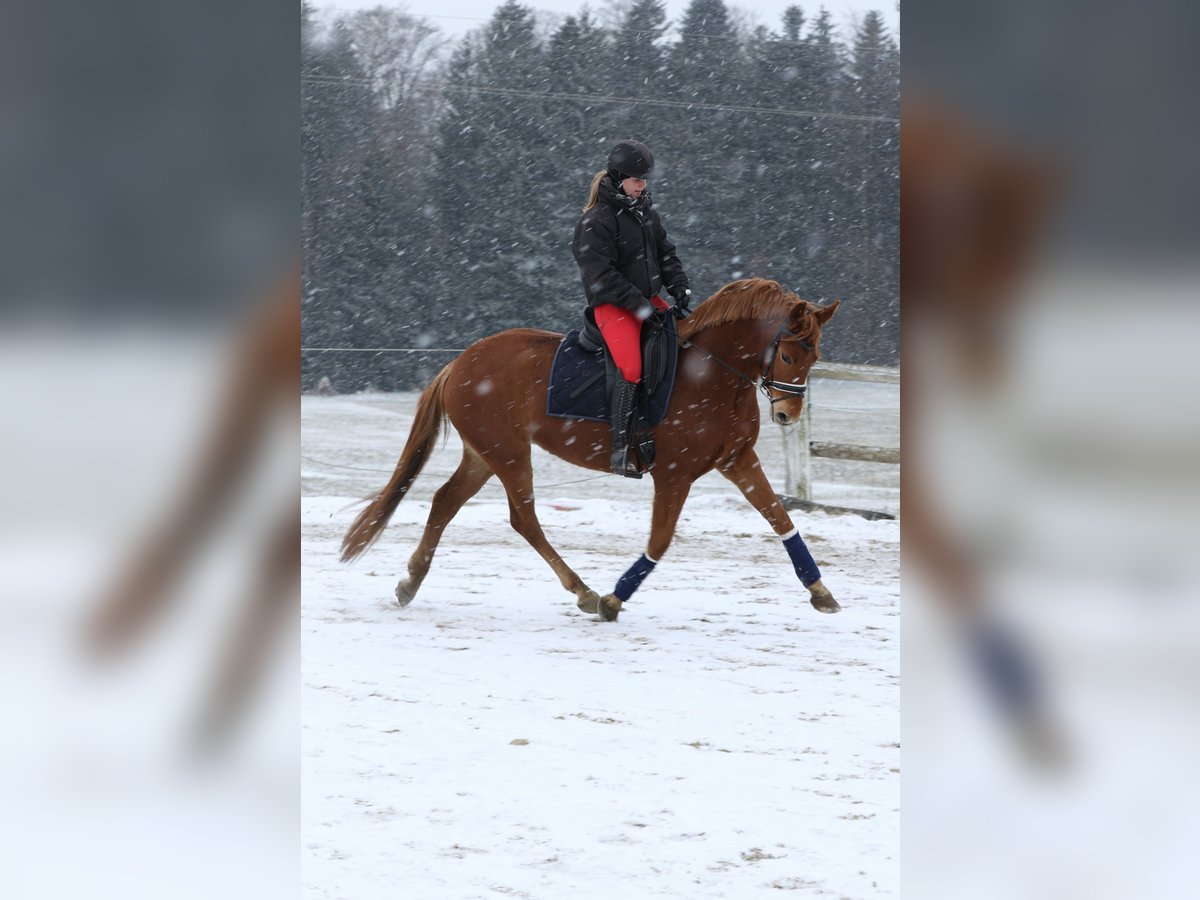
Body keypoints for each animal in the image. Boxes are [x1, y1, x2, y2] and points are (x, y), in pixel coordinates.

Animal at [343, 278, 840, 624]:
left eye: (815, 357)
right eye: (789, 356)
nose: (788, 415)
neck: (712, 375)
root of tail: (461, 360)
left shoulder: (738, 460)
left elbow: (781, 519)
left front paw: (820, 591)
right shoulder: (674, 474)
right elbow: (660, 540)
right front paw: (614, 601)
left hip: (484, 454)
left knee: (445, 502)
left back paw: (410, 582)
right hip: (508, 453)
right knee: (523, 519)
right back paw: (582, 591)